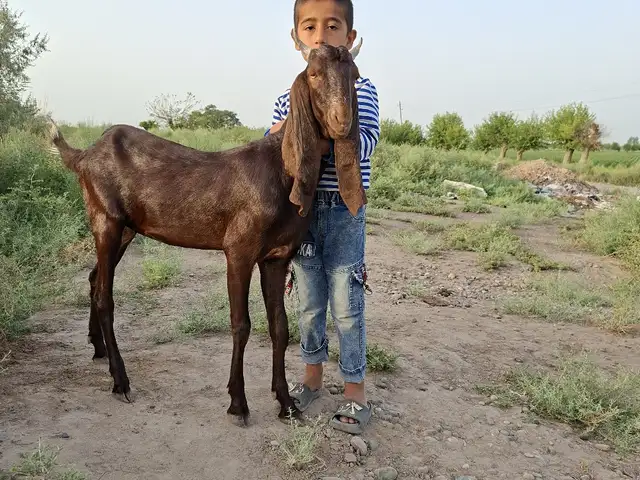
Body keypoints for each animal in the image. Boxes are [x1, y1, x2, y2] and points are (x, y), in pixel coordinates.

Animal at [47, 38, 366, 424]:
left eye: (355, 75)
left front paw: (286, 402)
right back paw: (120, 381)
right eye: (315, 74)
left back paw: (99, 351)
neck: (282, 169)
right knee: (104, 296)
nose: (341, 121)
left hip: (124, 229)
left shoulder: (276, 257)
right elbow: (241, 324)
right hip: (105, 220)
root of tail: (82, 155)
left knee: (95, 279)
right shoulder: (239, 250)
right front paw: (238, 402)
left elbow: (280, 326)